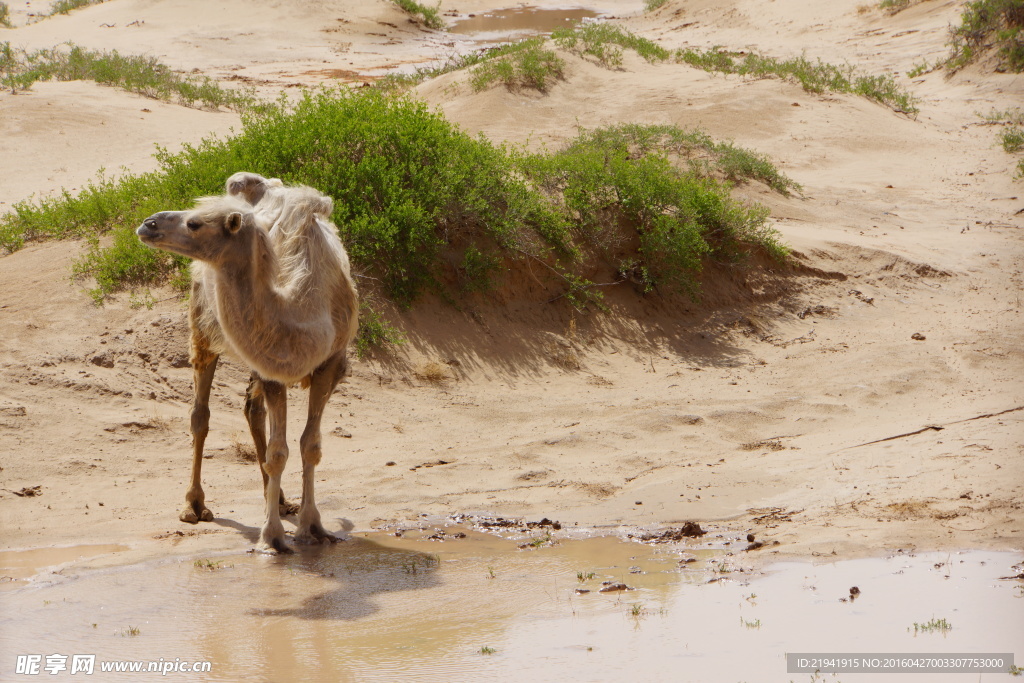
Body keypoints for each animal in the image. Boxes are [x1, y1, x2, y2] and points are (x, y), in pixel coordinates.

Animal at [136, 184, 360, 552]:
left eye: (194, 223)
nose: (148, 224)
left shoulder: (329, 362)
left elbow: (309, 445)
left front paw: (313, 527)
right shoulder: (272, 369)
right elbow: (279, 451)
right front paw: (272, 538)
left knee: (252, 411)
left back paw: (280, 500)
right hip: (202, 329)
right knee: (201, 415)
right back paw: (193, 505)